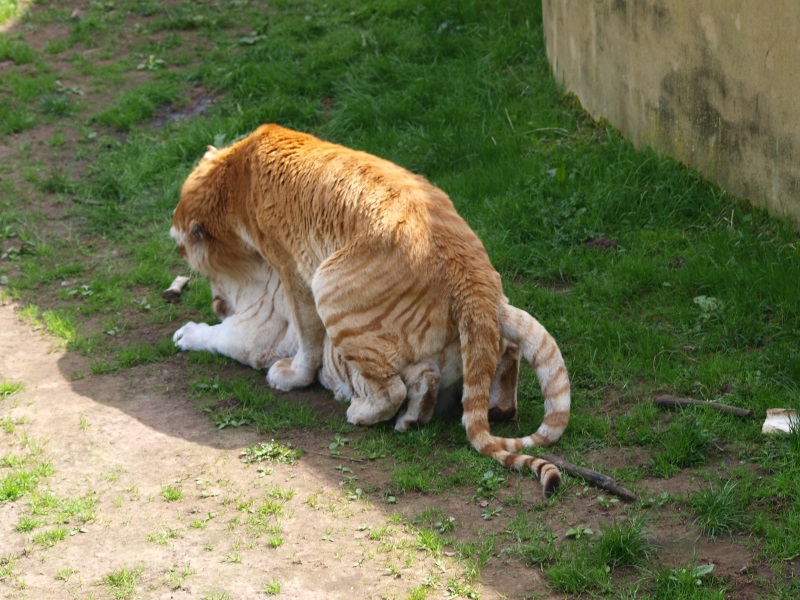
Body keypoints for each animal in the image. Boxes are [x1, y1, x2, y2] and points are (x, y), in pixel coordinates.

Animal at [171, 125, 571, 497]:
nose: (176, 245)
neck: (234, 173)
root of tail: (473, 282)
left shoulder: (291, 269)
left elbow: (303, 335)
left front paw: (290, 375)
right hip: (495, 310)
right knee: (505, 352)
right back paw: (491, 407)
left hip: (329, 286)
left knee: (394, 389)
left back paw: (363, 412)